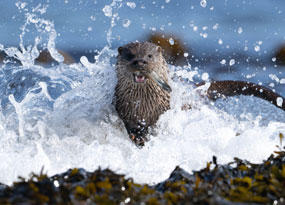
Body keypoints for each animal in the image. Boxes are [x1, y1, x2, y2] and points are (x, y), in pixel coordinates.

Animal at [114, 42, 284, 147]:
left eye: (149, 56)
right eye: (130, 56)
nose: (140, 62)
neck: (143, 108)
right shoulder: (125, 112)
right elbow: (130, 127)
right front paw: (137, 136)